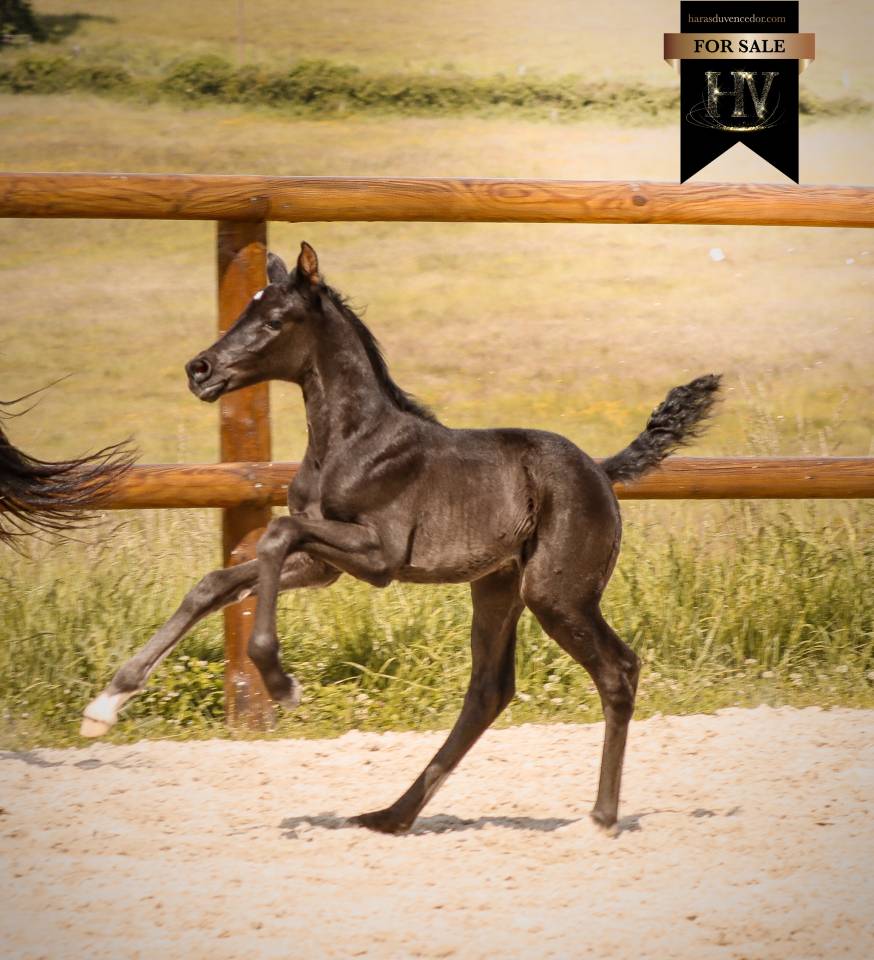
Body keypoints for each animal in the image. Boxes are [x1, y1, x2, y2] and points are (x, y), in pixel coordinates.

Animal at [82, 242, 720, 834]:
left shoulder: (378, 556)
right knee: (488, 691)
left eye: (275, 319)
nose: (200, 370)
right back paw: (391, 815)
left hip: (556, 594)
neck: (353, 441)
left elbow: (275, 534)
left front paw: (281, 681)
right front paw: (107, 703)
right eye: (246, 308)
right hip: (497, 588)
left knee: (617, 670)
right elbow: (217, 581)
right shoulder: (323, 566)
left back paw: (601, 817)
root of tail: (602, 471)